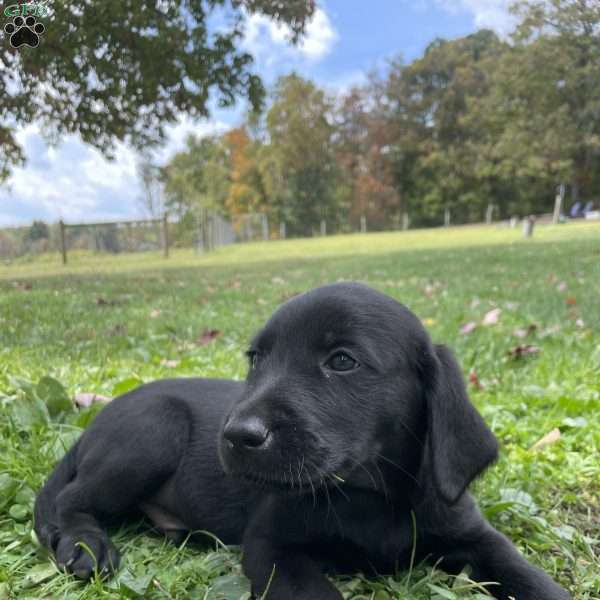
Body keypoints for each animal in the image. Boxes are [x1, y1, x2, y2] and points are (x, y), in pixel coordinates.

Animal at [36, 284, 572, 596]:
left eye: (342, 360)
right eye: (257, 359)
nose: (236, 436)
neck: (370, 495)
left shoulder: (474, 534)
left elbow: (528, 576)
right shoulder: (271, 546)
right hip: (154, 428)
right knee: (70, 497)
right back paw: (84, 546)